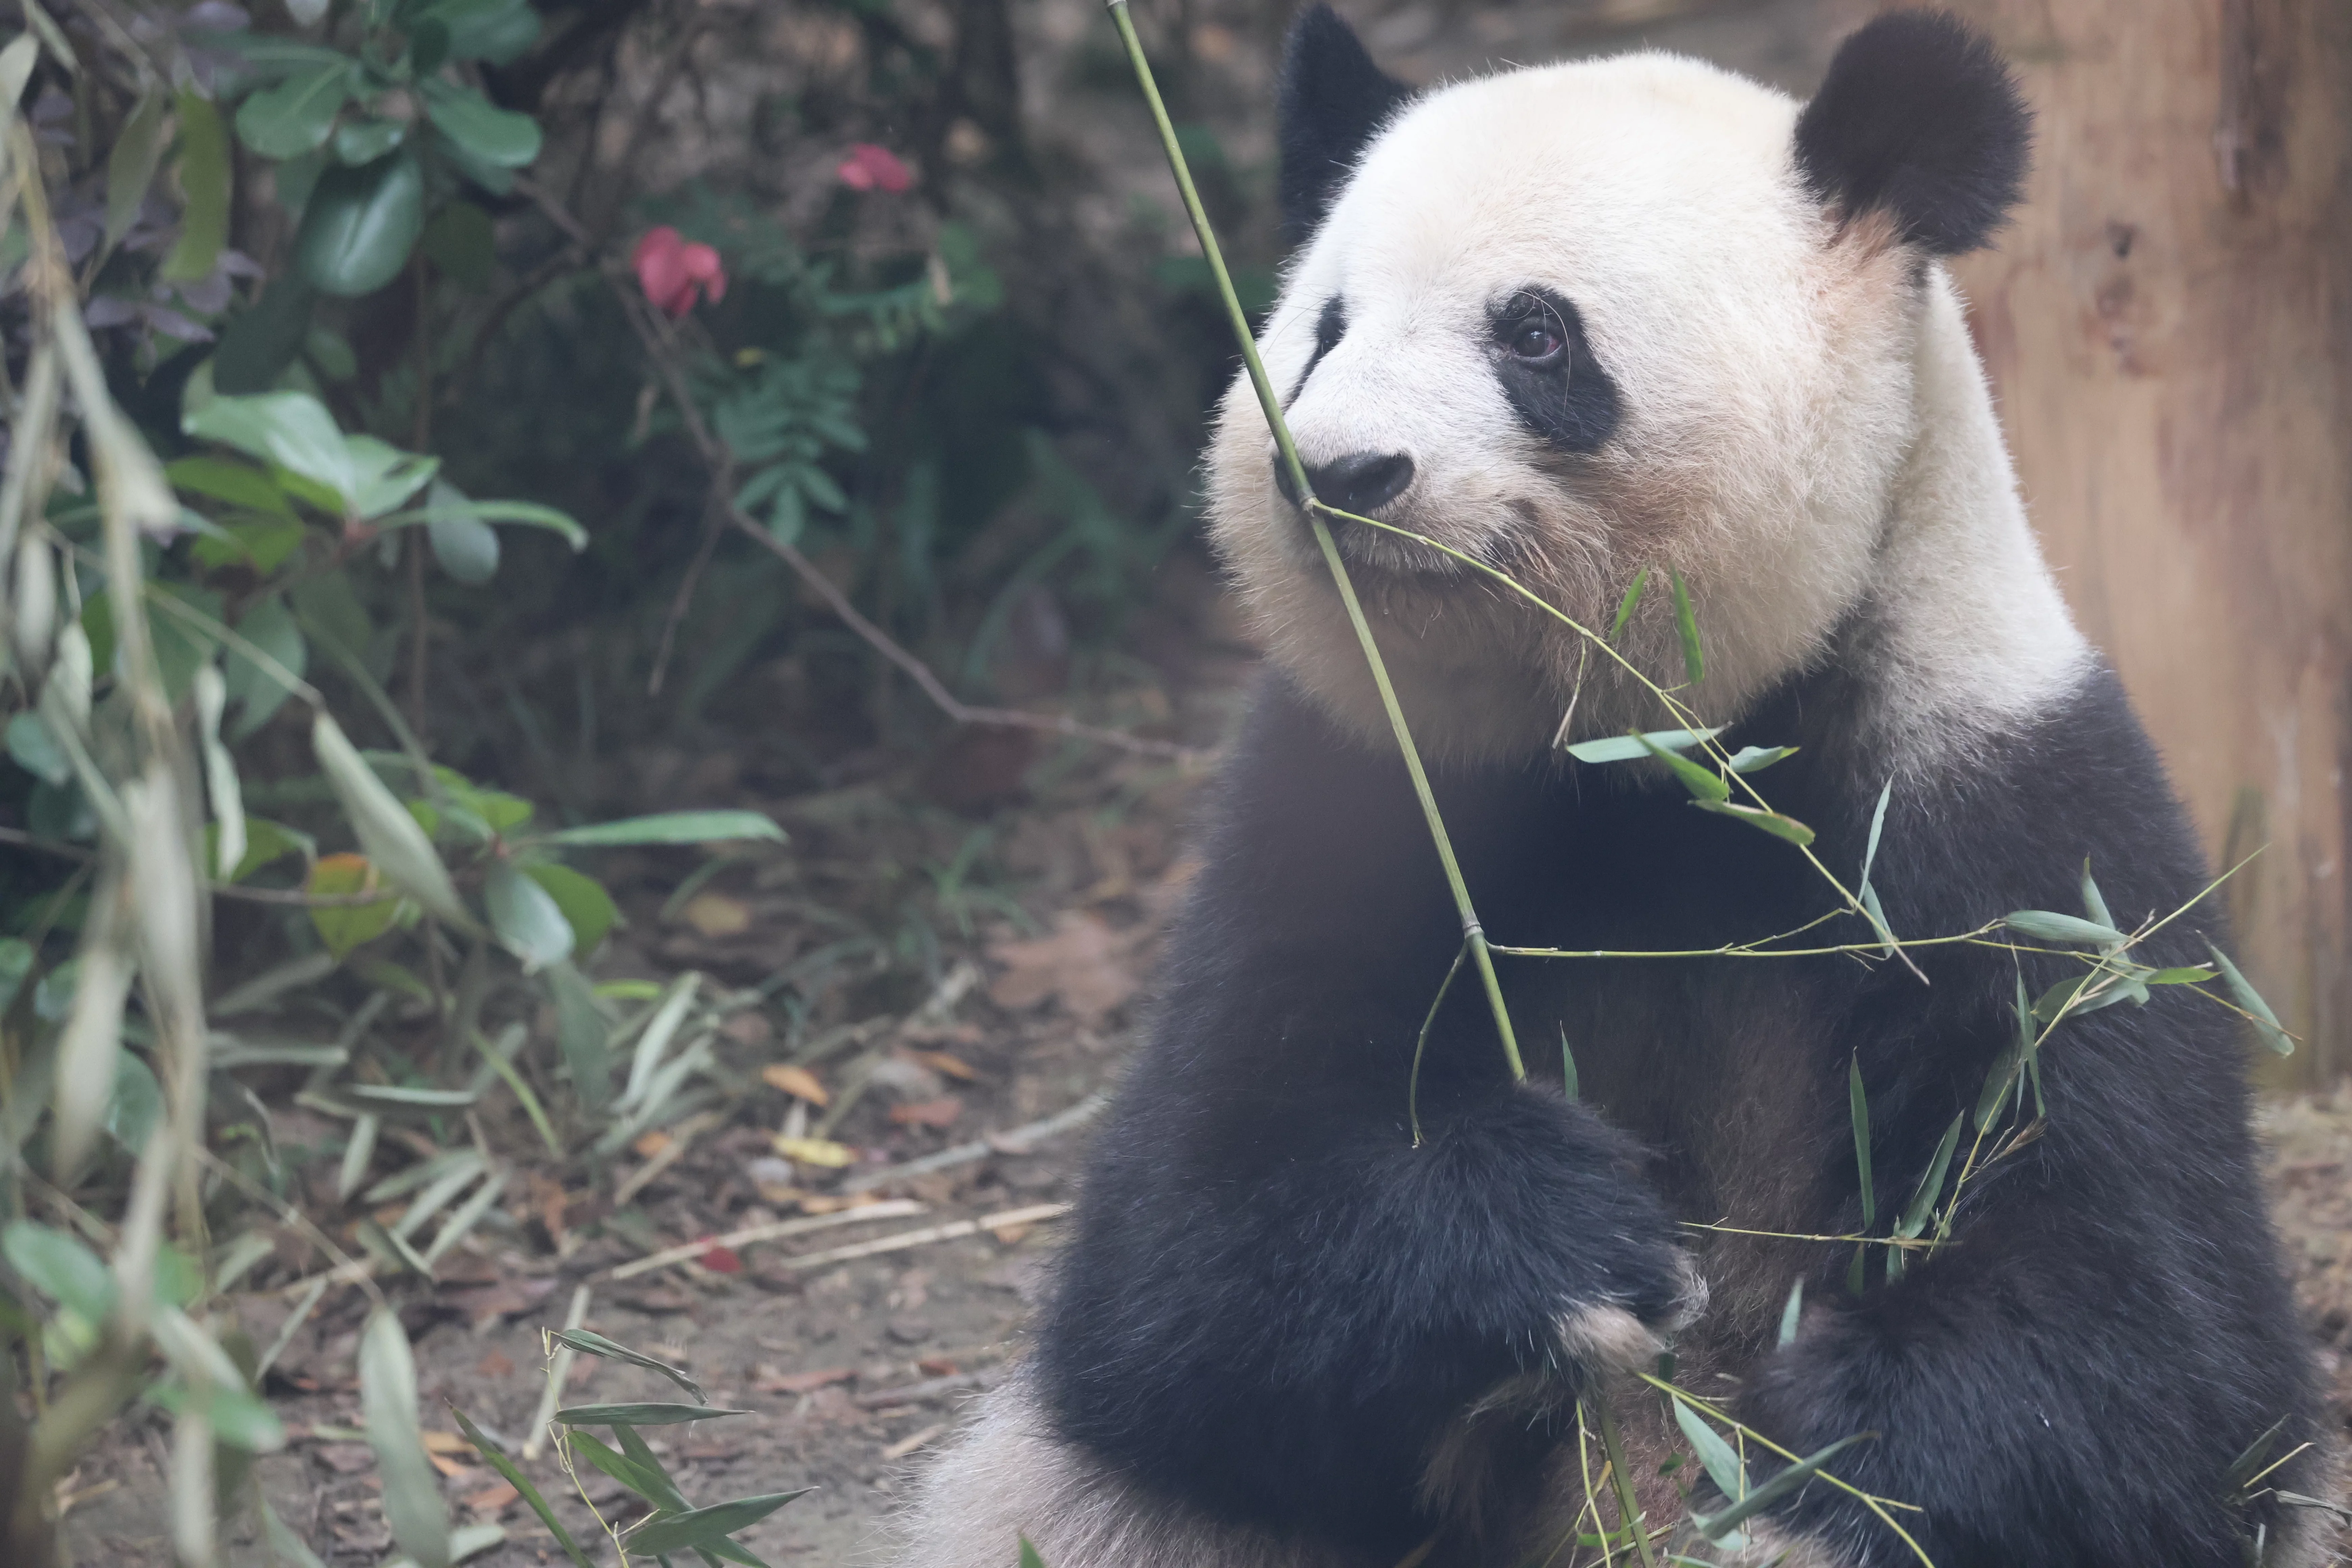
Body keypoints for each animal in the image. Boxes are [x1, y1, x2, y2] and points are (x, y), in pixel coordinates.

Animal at [895, 9, 2330, 1567]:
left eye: (1534, 331)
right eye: (1323, 326)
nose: (1338, 472)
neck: (1658, 754)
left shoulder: (2009, 820)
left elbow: (2158, 1341)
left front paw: (1811, 1436)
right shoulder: (1351, 788)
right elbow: (1179, 1261)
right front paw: (1565, 1246)